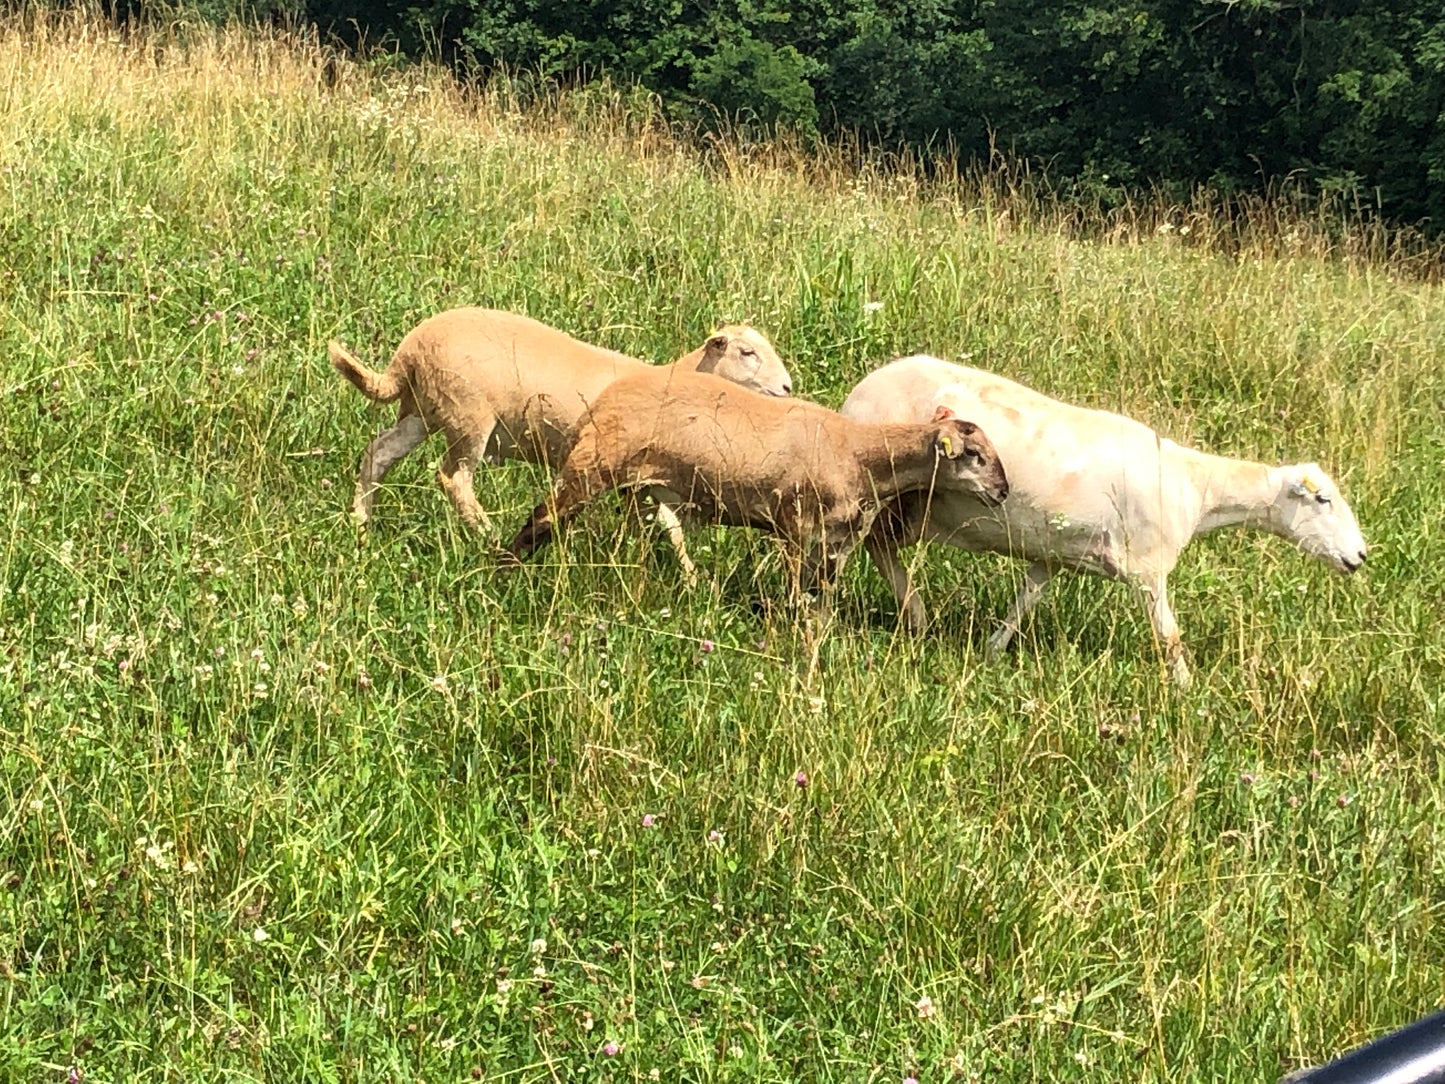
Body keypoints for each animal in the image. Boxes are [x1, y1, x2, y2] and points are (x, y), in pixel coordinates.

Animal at [328, 307, 791, 537]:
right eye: (747, 352)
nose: (787, 387)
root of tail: (410, 349)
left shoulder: (644, 478)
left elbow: (667, 525)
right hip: (469, 415)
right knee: (454, 478)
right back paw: (485, 532)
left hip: (425, 410)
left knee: (379, 453)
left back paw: (361, 524)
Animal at [502, 365, 1011, 604]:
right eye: (976, 455)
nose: (1003, 492)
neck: (858, 456)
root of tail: (604, 399)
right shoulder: (793, 523)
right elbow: (795, 593)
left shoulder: (836, 541)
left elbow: (820, 596)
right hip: (592, 465)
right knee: (541, 519)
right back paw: (504, 570)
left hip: (635, 485)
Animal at [838, 356, 1364, 682]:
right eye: (1323, 501)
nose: (1360, 556)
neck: (1196, 488)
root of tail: (858, 392)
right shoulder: (1148, 567)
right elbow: (1169, 637)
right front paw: (1187, 691)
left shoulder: (1054, 551)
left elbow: (1026, 598)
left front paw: (993, 648)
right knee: (873, 546)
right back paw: (913, 613)